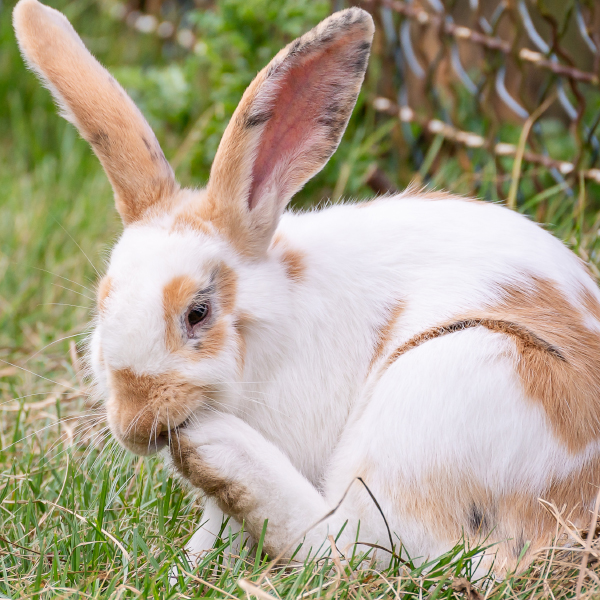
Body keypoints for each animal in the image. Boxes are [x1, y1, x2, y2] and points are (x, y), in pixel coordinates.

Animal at [14, 0, 600, 576]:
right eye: (102, 303)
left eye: (198, 313)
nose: (135, 424)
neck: (274, 329)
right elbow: (217, 533)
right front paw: (189, 566)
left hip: (457, 384)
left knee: (355, 546)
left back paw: (214, 449)